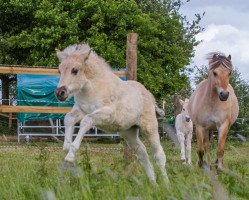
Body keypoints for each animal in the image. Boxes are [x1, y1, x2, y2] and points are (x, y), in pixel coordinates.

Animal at [54, 43, 169, 184]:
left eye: (75, 70)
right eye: (60, 71)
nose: (60, 93)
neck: (93, 88)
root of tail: (149, 96)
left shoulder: (107, 114)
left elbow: (86, 121)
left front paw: (70, 155)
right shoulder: (81, 110)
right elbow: (68, 118)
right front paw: (66, 146)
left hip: (149, 127)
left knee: (159, 154)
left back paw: (166, 184)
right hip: (129, 132)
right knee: (142, 153)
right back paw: (153, 183)